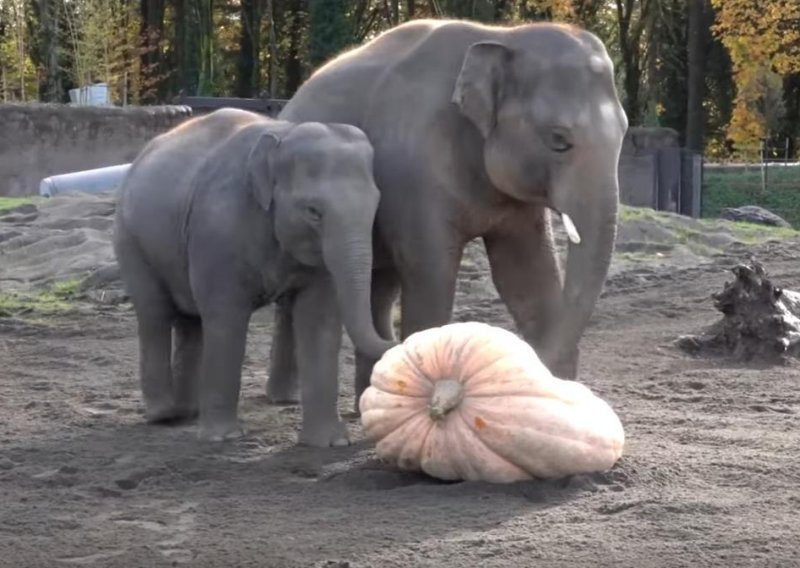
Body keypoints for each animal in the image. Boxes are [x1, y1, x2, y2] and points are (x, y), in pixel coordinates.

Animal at [114, 106, 396, 444]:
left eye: (377, 205)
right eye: (313, 211)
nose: (397, 338)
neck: (283, 138)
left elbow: (319, 318)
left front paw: (331, 442)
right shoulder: (218, 230)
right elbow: (226, 316)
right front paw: (223, 438)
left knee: (190, 321)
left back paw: (188, 413)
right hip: (131, 241)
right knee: (155, 313)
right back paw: (164, 415)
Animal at [266, 18, 628, 412]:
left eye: (625, 132)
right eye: (559, 139)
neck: (503, 36)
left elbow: (525, 274)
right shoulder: (415, 168)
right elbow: (432, 271)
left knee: (382, 286)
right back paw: (285, 398)